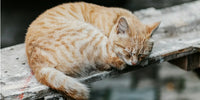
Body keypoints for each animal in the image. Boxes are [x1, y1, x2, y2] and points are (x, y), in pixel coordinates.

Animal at [25, 1, 160, 100]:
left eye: (141, 54)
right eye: (127, 52)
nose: (134, 63)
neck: (114, 18)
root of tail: (37, 65)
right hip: (92, 33)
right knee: (110, 61)